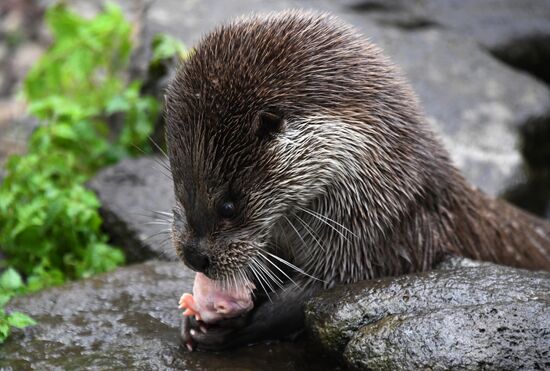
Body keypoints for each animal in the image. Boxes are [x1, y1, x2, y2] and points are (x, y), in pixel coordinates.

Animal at [166, 9, 550, 352]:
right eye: (180, 192)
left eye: (228, 205)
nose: (194, 257)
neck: (385, 185)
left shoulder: (384, 237)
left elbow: (316, 295)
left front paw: (233, 325)